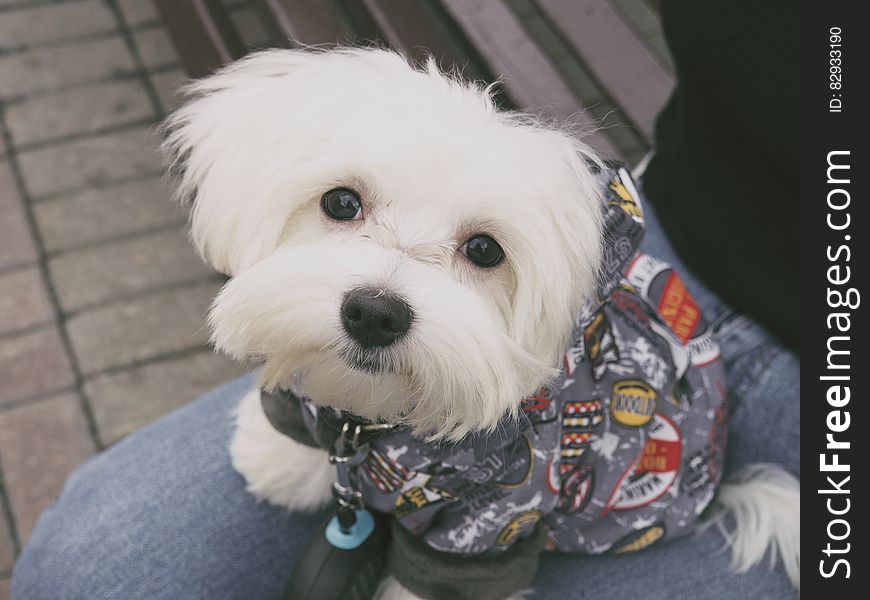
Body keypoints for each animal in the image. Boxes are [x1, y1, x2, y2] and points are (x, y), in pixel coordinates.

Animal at [160, 48, 800, 600]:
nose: (375, 312)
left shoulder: (495, 517)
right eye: (341, 202)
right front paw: (278, 457)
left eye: (485, 250)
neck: (379, 427)